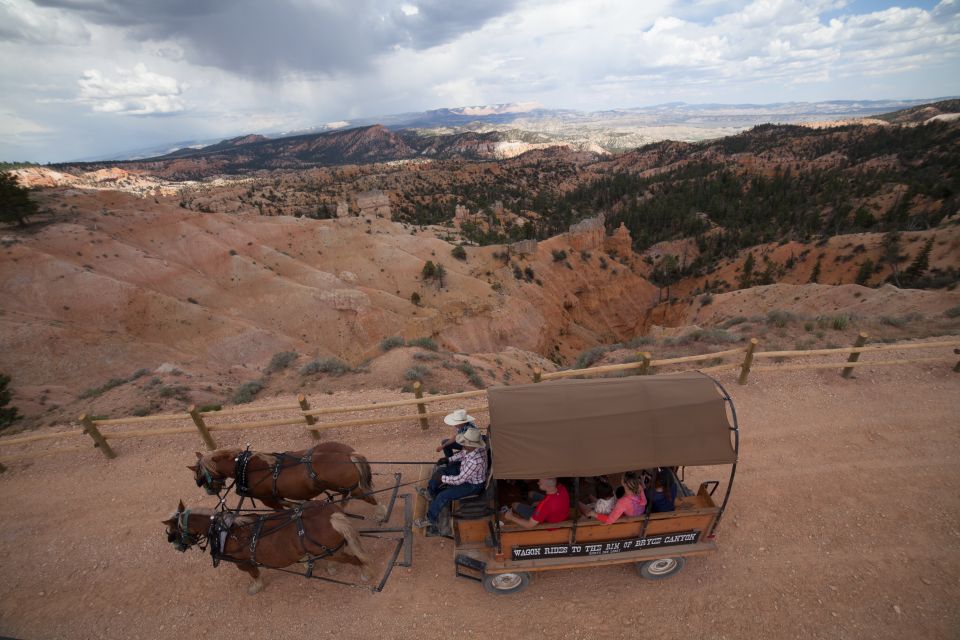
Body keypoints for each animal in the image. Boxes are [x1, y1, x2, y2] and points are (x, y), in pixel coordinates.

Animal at [165, 500, 376, 596]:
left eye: (172, 530)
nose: (175, 546)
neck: (226, 531)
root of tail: (333, 517)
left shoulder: (242, 562)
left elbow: (254, 574)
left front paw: (256, 587)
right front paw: (306, 563)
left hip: (333, 552)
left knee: (355, 559)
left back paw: (366, 573)